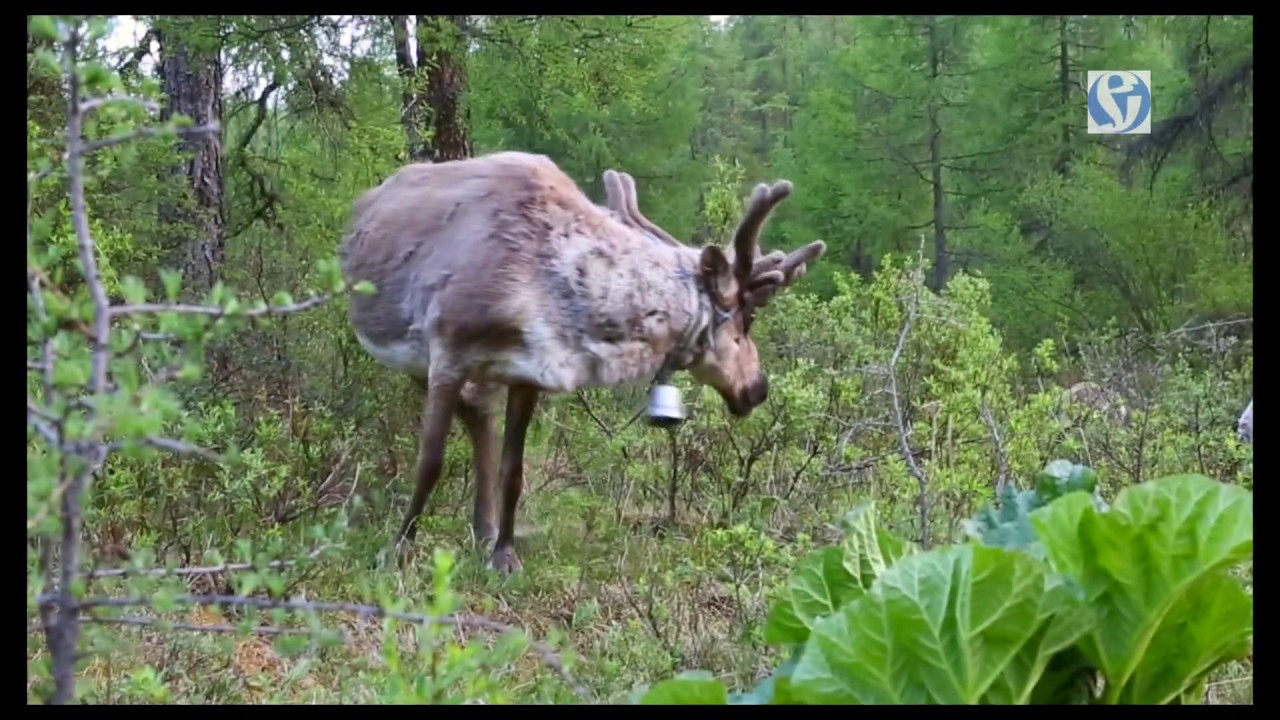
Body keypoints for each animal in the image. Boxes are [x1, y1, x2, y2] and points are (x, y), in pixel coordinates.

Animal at [338, 151, 827, 574]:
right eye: (746, 320)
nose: (757, 389)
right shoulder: (447, 353)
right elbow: (430, 461)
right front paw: (398, 548)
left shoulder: (527, 370)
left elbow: (514, 471)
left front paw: (504, 555)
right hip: (409, 355)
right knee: (470, 414)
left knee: (480, 417)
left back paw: (484, 529)